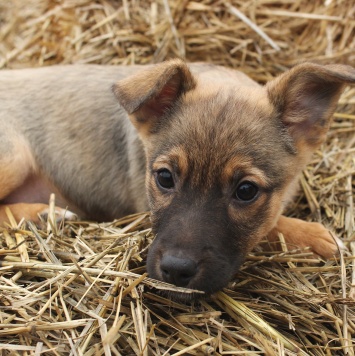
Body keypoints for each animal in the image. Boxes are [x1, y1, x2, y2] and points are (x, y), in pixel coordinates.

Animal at [1, 60, 354, 298]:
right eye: (165, 178)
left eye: (246, 190)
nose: (175, 270)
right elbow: (273, 225)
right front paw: (316, 236)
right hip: (14, 156)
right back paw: (44, 213)